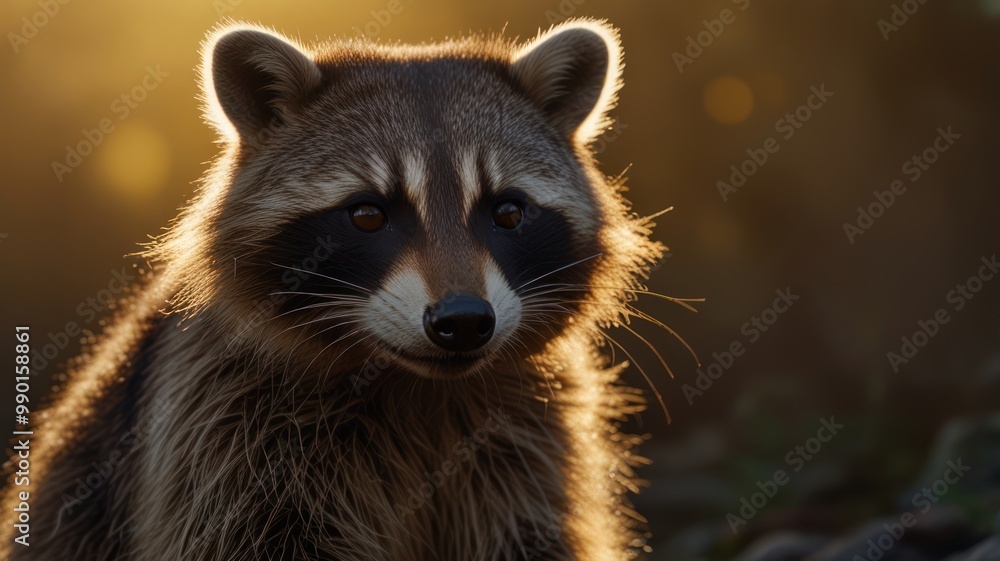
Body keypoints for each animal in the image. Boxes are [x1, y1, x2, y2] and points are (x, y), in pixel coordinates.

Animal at [2, 18, 666, 561]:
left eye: (507, 213)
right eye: (368, 215)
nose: (463, 321)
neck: (414, 386)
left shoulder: (527, 447)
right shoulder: (224, 435)